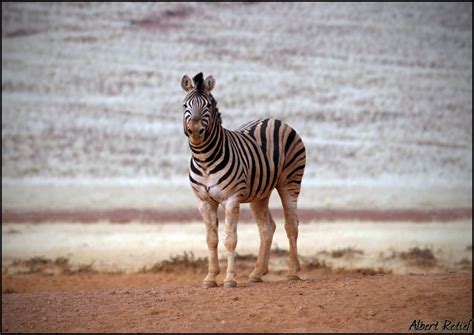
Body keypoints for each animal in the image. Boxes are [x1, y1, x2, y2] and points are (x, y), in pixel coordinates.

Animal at [180, 71, 306, 288]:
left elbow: (230, 239)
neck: (204, 159)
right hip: (260, 193)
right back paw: (256, 273)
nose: (195, 131)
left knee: (291, 225)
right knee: (267, 228)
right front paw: (210, 277)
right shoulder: (203, 201)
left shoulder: (231, 199)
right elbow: (211, 239)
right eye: (185, 105)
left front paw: (230, 279)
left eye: (208, 105)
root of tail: (273, 119)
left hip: (290, 181)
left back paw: (292, 273)